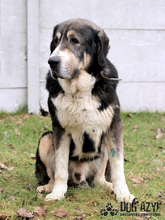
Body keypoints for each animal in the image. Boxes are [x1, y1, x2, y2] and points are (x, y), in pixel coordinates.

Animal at [35, 19, 135, 203]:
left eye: (75, 41)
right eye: (56, 41)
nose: (52, 61)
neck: (79, 91)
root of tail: (79, 176)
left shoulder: (114, 126)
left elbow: (118, 166)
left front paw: (123, 194)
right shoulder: (59, 129)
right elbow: (60, 166)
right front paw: (58, 193)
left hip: (103, 146)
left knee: (98, 179)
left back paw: (109, 186)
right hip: (46, 139)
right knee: (53, 174)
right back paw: (49, 187)